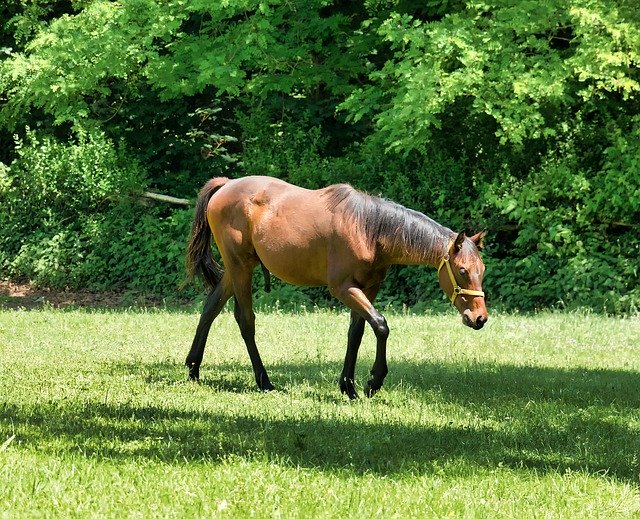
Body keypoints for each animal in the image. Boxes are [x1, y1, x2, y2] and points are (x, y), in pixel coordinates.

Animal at [182, 177, 488, 400]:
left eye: (482, 270)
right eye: (462, 271)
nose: (479, 318)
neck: (369, 229)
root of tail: (226, 184)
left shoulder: (368, 288)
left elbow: (357, 333)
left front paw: (348, 386)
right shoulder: (344, 289)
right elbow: (381, 326)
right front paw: (373, 381)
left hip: (235, 271)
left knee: (210, 309)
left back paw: (194, 369)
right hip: (241, 268)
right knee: (245, 320)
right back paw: (264, 381)